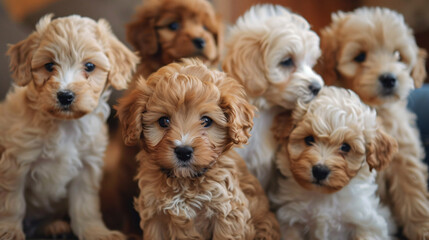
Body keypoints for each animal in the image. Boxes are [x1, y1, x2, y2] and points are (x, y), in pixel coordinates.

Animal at [0, 14, 137, 239]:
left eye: (89, 66)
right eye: (49, 65)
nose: (65, 95)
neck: (65, 125)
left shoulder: (87, 167)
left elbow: (85, 206)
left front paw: (96, 232)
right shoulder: (15, 162)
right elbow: (12, 203)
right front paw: (10, 231)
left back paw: (55, 226)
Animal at [115, 58, 280, 240]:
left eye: (206, 121)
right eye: (163, 121)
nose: (183, 151)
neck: (184, 180)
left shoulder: (227, 212)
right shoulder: (155, 215)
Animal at [270, 86, 396, 240]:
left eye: (346, 147)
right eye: (309, 139)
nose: (320, 171)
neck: (323, 197)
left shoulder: (367, 223)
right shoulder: (290, 220)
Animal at [316, 7, 428, 238]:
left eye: (398, 56)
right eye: (360, 57)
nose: (389, 78)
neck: (376, 108)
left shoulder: (404, 154)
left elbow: (413, 193)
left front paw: (422, 229)